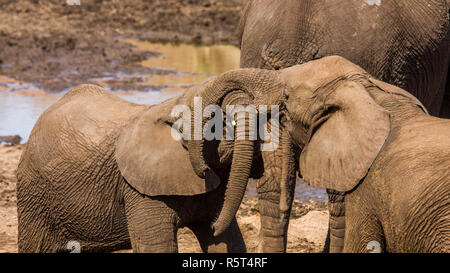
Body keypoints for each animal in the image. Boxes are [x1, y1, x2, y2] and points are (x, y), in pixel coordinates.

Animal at [15, 69, 290, 252]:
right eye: (216, 123)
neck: (171, 104)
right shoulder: (139, 188)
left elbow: (227, 244)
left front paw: (215, 231)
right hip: (34, 193)